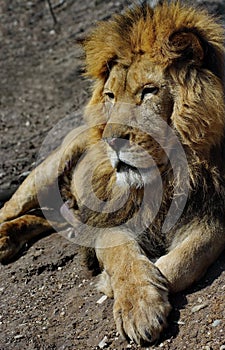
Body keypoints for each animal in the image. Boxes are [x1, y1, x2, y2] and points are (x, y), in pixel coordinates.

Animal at [0, 0, 225, 344]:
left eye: (148, 91)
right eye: (110, 96)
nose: (111, 140)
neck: (167, 177)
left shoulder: (210, 211)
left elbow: (192, 255)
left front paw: (123, 282)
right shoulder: (110, 220)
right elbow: (122, 257)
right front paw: (137, 304)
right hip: (42, 175)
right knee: (10, 208)